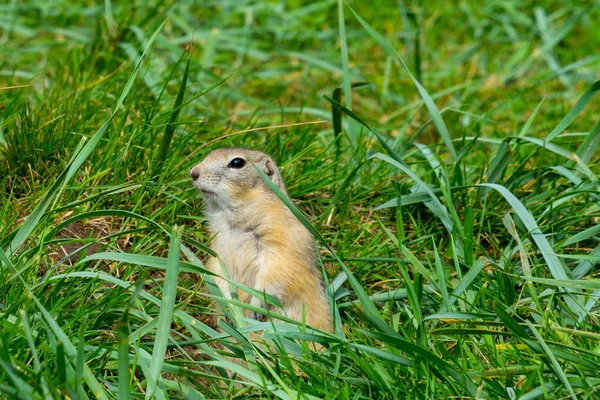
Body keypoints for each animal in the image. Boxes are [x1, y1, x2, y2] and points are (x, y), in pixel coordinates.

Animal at [190, 146, 332, 332]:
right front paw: (229, 308)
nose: (193, 172)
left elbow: (275, 273)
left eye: (237, 162)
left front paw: (256, 308)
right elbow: (218, 274)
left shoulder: (280, 241)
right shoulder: (218, 249)